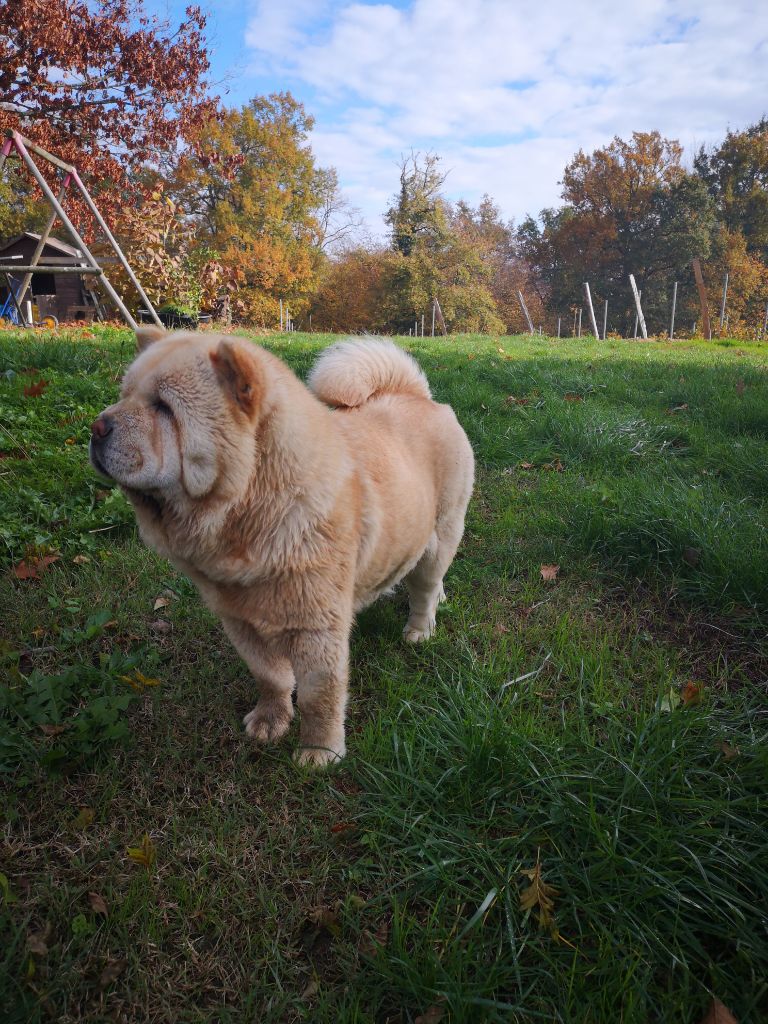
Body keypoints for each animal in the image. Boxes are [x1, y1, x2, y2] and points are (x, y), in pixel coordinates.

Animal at [90, 331, 475, 765]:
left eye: (163, 407)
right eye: (124, 395)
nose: (96, 426)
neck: (247, 518)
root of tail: (420, 397)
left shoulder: (317, 629)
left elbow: (318, 696)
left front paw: (320, 753)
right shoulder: (239, 621)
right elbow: (270, 677)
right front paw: (269, 722)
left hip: (443, 530)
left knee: (425, 586)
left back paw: (419, 629)